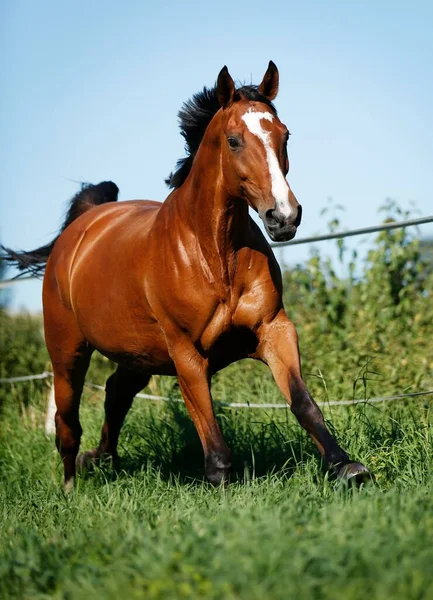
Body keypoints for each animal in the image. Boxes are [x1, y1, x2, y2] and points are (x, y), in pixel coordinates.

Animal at [2, 62, 372, 492]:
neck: (215, 256)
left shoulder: (274, 328)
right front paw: (221, 479)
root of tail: (83, 227)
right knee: (67, 421)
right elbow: (209, 428)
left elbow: (303, 402)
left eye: (284, 135)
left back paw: (100, 459)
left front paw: (347, 467)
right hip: (67, 352)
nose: (283, 216)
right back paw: (70, 487)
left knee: (116, 392)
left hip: (137, 354)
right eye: (233, 141)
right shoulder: (186, 352)